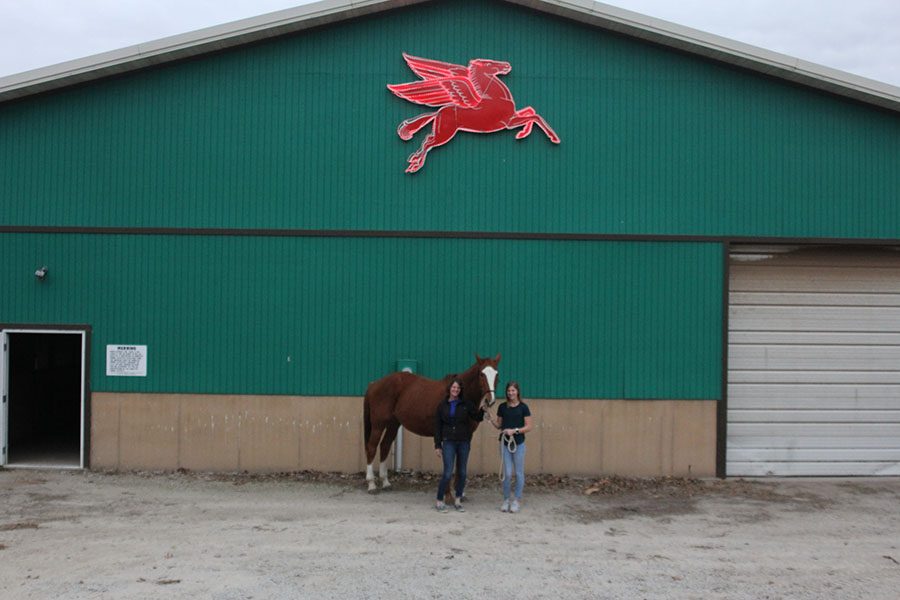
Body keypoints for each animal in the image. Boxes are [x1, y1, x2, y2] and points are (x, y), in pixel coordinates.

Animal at [362, 352, 500, 492]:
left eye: (496, 373)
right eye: (482, 374)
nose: (490, 400)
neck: (460, 398)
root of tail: (374, 384)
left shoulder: (466, 436)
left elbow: (460, 461)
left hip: (393, 424)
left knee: (384, 446)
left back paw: (385, 482)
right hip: (378, 424)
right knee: (372, 447)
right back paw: (371, 484)